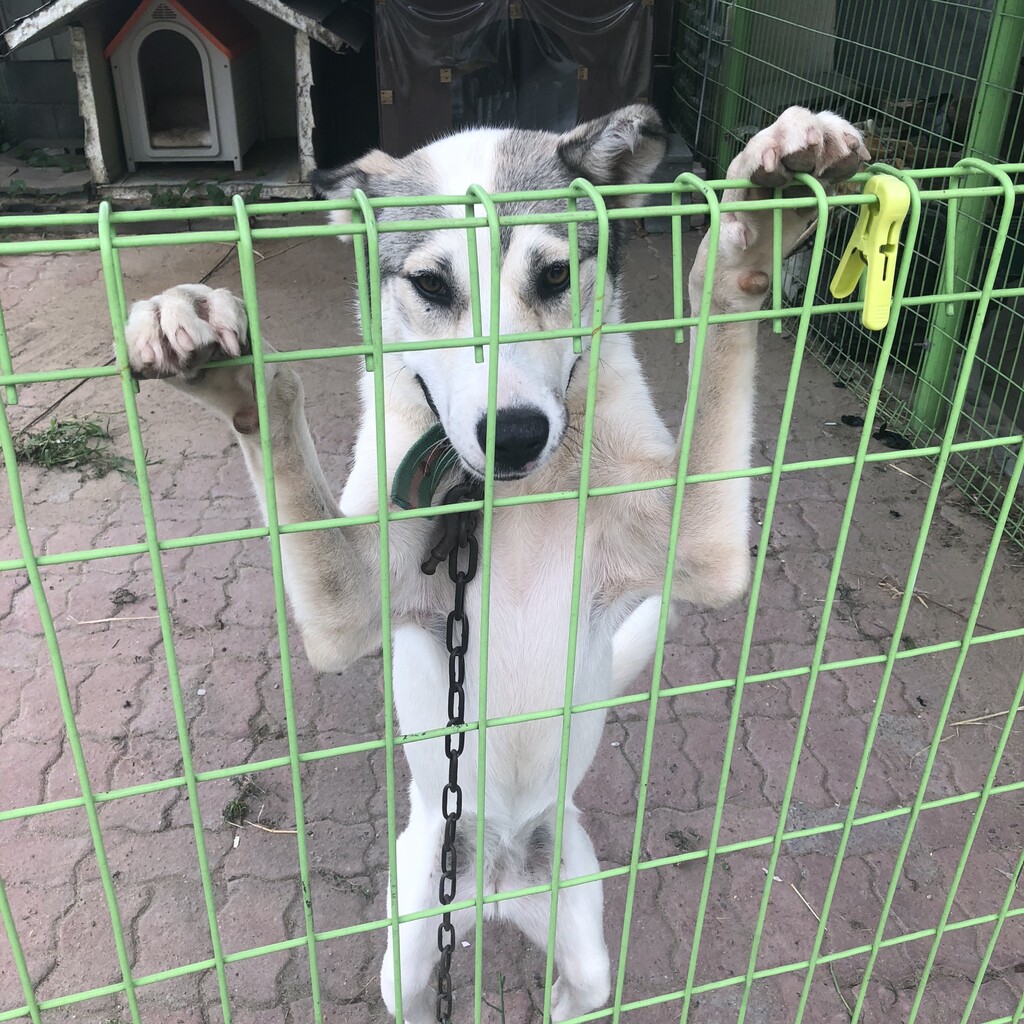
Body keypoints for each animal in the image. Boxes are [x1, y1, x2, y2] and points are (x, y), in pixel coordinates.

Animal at [124, 104, 867, 1021]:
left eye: (553, 275)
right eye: (432, 286)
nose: (514, 436)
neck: (507, 503)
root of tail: (499, 882)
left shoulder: (707, 542)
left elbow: (720, 334)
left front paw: (754, 229)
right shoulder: (345, 607)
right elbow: (282, 430)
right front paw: (224, 358)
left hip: (582, 933)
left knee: (574, 993)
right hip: (410, 938)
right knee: (415, 987)